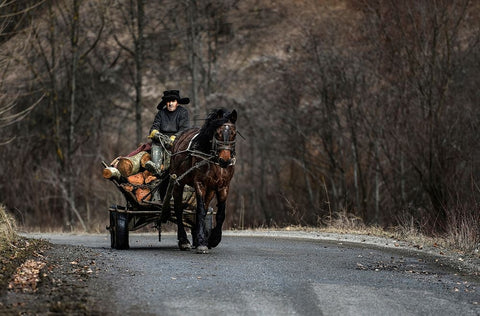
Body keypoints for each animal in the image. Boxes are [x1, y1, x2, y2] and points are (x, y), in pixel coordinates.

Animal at [170, 107, 237, 253]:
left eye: (234, 134)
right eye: (217, 133)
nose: (225, 160)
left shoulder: (223, 186)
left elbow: (220, 213)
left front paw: (212, 239)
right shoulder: (200, 184)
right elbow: (200, 210)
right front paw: (201, 242)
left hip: (211, 189)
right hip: (178, 182)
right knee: (178, 209)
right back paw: (184, 241)